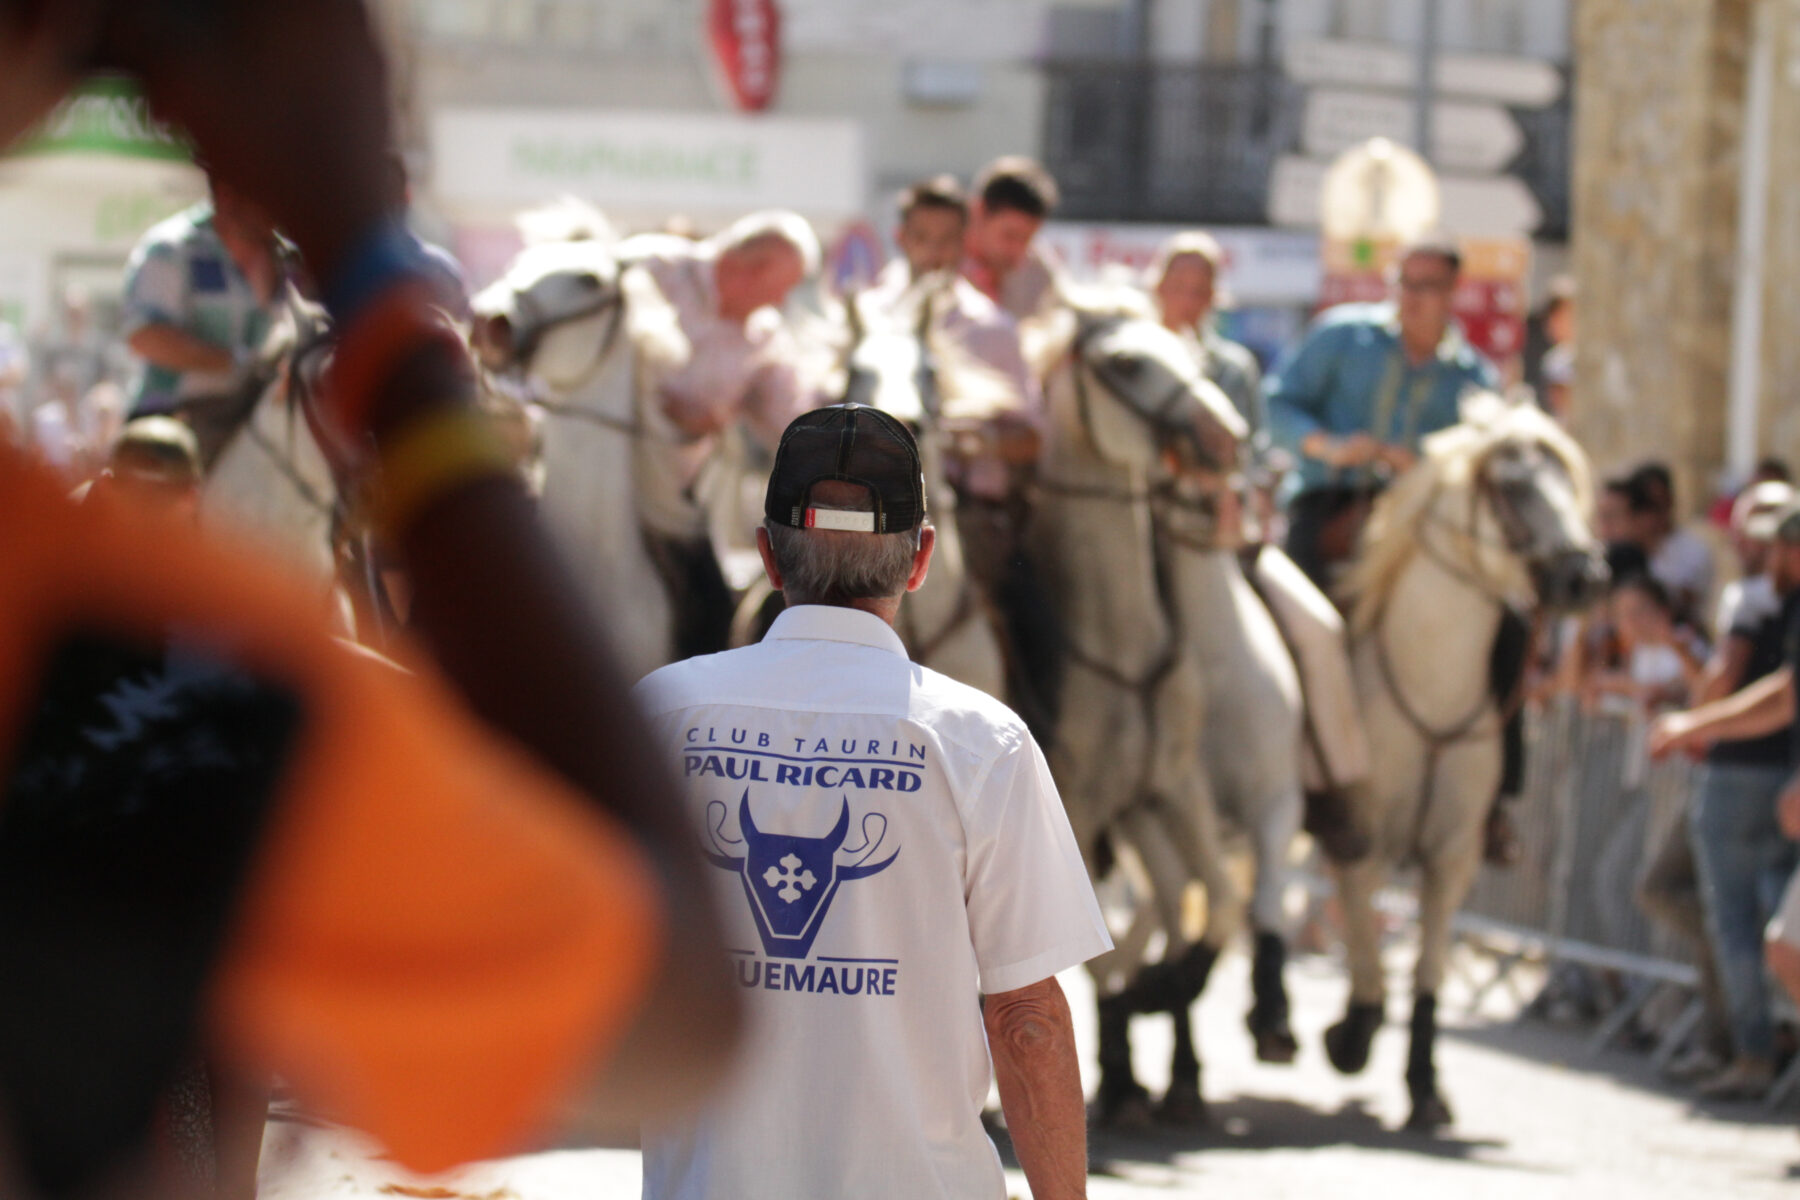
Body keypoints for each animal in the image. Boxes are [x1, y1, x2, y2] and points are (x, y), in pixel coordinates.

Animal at [1324, 395, 1605, 1137]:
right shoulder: (1362, 840)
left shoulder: (1454, 854)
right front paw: (1351, 1035)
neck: (1430, 685)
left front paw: (1425, 1087)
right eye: (1510, 486)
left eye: (1568, 480)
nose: (1583, 576)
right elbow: (1365, 940)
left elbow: (1428, 972)